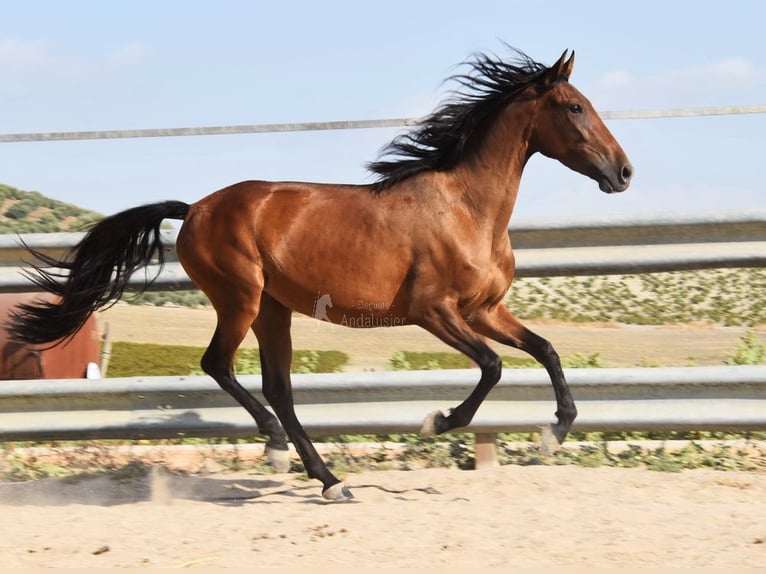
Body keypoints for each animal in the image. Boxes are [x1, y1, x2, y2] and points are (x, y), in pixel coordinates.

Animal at [9, 48, 636, 500]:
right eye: (575, 107)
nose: (624, 172)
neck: (466, 209)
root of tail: (195, 209)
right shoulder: (433, 311)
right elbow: (493, 366)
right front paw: (437, 421)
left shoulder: (484, 309)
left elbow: (546, 350)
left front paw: (554, 433)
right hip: (241, 298)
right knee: (220, 366)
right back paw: (277, 446)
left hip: (273, 309)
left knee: (278, 386)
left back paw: (329, 478)